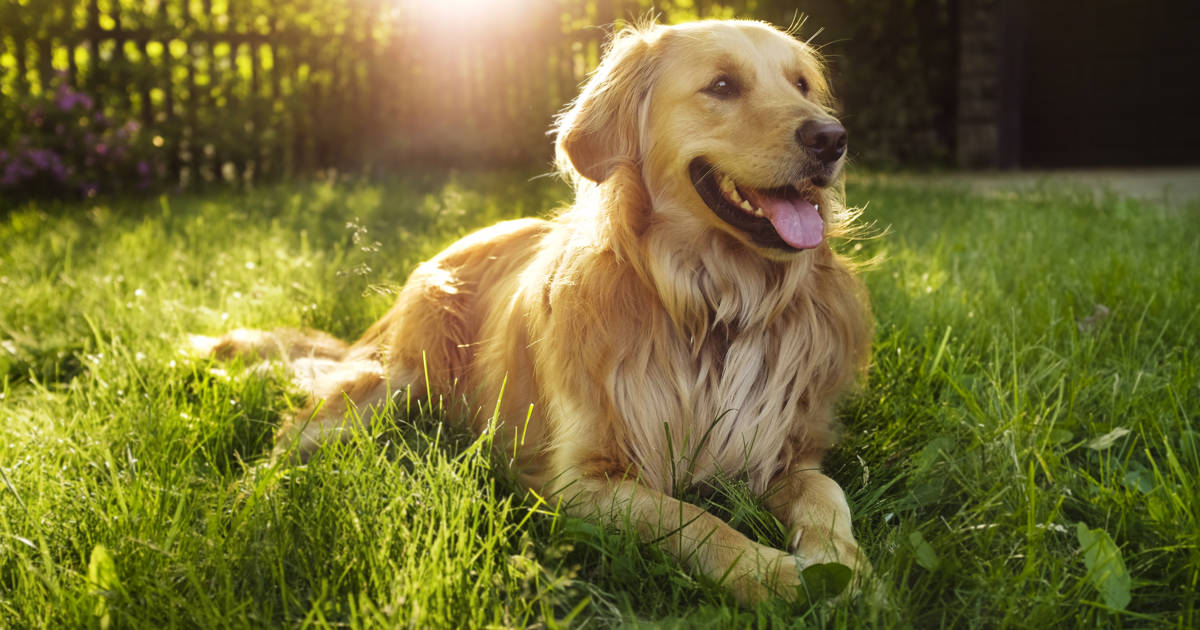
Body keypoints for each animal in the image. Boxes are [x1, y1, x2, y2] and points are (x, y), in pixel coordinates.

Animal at [194, 18, 873, 604]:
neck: (713, 306)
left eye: (802, 85)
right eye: (724, 86)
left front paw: (843, 566)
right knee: (288, 440)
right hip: (390, 382)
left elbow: (826, 492)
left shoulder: (784, 450)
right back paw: (242, 512)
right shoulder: (583, 481)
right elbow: (692, 519)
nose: (833, 139)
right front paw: (774, 575)